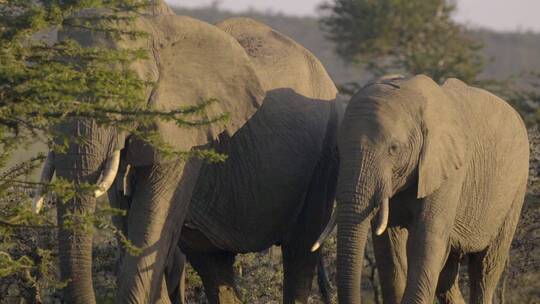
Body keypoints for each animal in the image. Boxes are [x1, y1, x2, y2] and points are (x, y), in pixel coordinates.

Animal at [316, 74, 532, 304]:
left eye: (393, 149)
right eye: (337, 149)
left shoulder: (449, 170)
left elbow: (425, 240)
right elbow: (389, 246)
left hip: (516, 191)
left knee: (484, 270)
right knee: (447, 277)